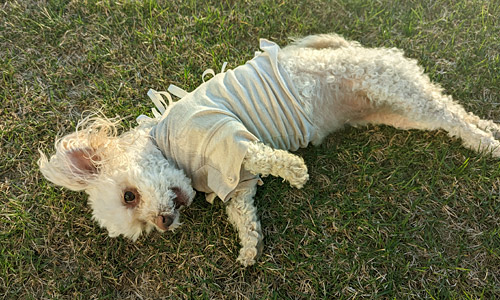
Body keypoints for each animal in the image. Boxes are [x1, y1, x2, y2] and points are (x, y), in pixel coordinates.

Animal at [38, 34, 500, 266]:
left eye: (129, 195)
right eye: (142, 227)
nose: (165, 222)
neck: (166, 143)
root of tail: (359, 48)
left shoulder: (225, 132)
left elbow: (266, 155)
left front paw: (296, 172)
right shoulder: (235, 182)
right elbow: (243, 213)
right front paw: (249, 249)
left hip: (394, 87)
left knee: (449, 112)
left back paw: (487, 142)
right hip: (400, 112)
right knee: (450, 114)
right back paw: (489, 130)